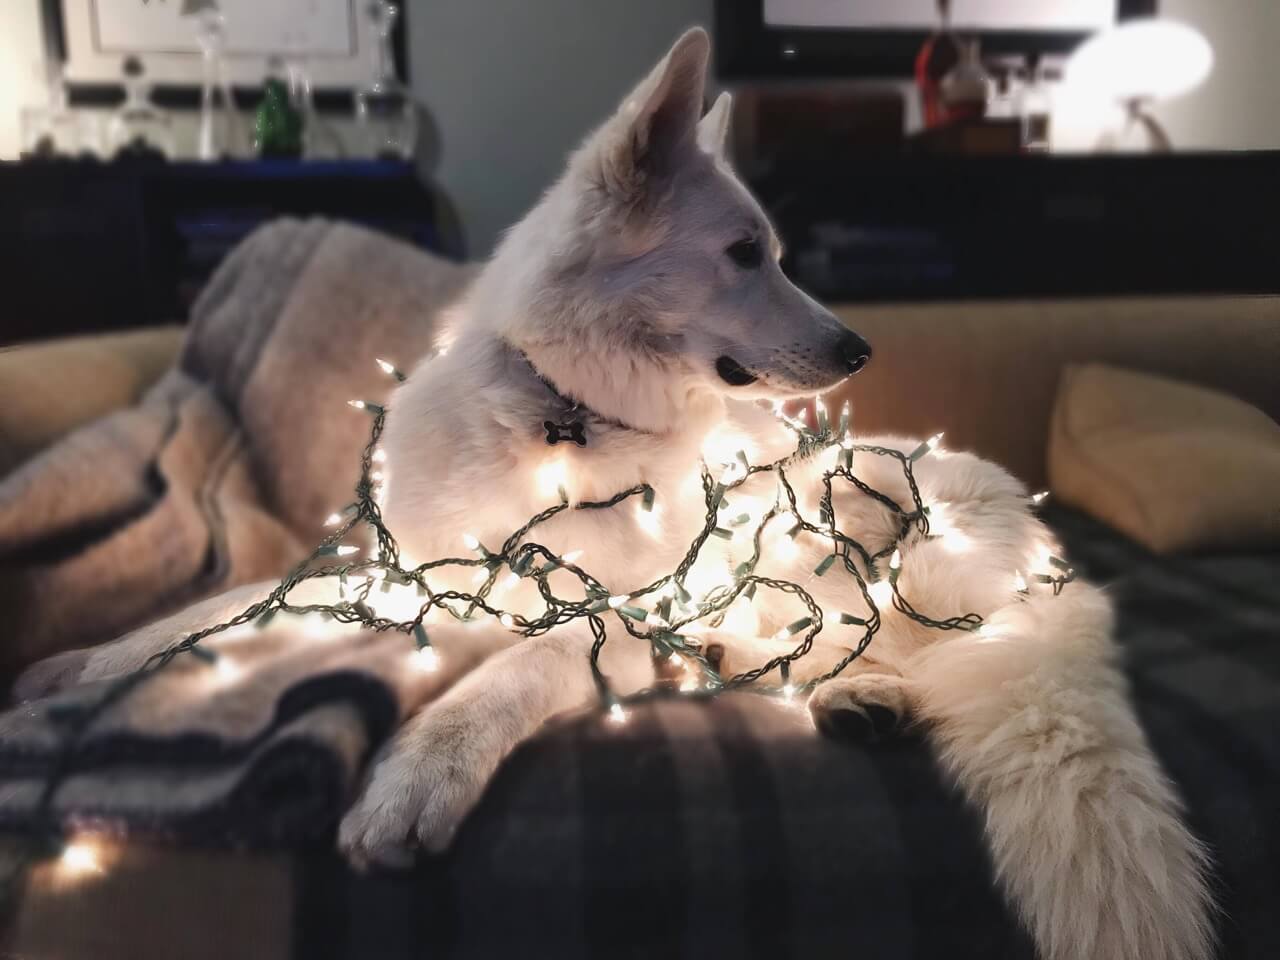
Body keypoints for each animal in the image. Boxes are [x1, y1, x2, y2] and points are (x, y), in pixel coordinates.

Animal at [27, 28, 1208, 960]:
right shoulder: (404, 572)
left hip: (852, 529)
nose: (859, 349)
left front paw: (417, 774)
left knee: (894, 641)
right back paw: (829, 693)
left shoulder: (637, 611)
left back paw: (862, 691)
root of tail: (1050, 559)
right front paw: (94, 664)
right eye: (744, 252)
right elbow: (234, 606)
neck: (564, 418)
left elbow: (517, 667)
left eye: (774, 252)